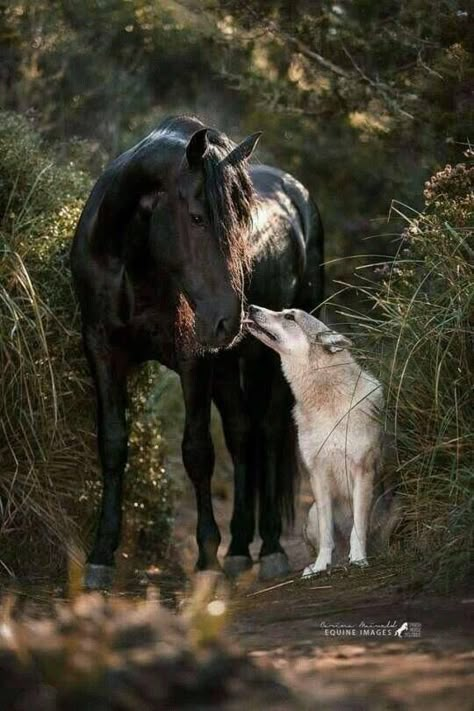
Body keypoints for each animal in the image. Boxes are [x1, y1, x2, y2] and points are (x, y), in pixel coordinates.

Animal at [71, 114, 322, 588]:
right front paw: (101, 555)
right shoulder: (102, 350)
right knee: (242, 432)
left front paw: (207, 557)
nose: (230, 320)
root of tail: (298, 192)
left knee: (266, 430)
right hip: (226, 365)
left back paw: (270, 548)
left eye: (243, 221)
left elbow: (198, 451)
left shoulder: (193, 360)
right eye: (197, 217)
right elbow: (112, 444)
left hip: (263, 357)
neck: (132, 259)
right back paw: (240, 548)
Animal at [246, 306, 390, 580]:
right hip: (312, 512)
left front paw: (359, 559)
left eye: (289, 317)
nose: (251, 308)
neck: (325, 404)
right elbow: (326, 536)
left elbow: (358, 526)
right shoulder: (317, 474)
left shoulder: (362, 470)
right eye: (282, 311)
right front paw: (321, 566)